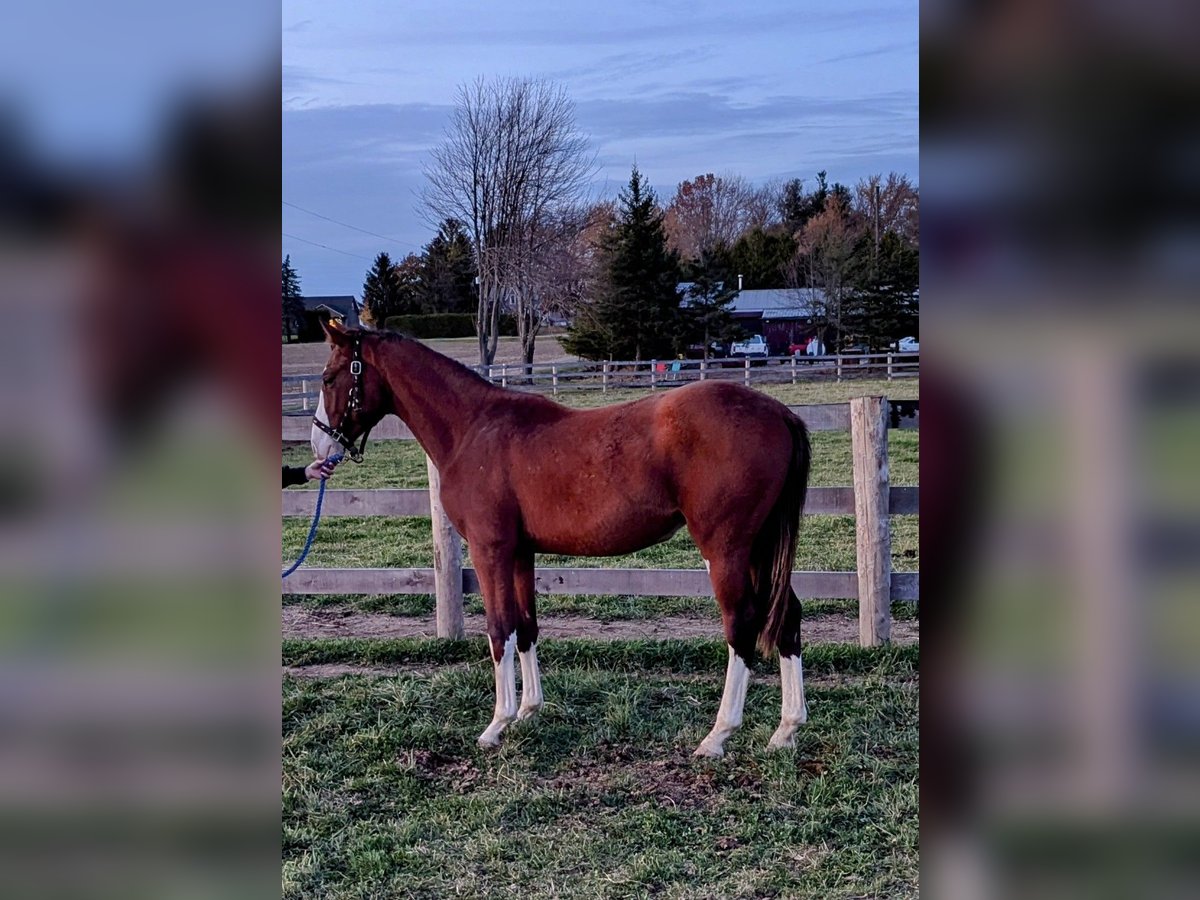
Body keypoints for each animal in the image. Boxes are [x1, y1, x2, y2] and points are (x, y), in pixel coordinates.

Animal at [314, 324, 811, 763]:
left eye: (329, 377)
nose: (321, 445)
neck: (473, 428)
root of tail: (780, 412)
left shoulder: (490, 550)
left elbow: (499, 629)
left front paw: (497, 724)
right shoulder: (520, 553)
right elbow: (526, 626)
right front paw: (528, 712)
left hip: (727, 551)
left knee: (741, 625)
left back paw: (717, 736)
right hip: (761, 549)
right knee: (786, 616)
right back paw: (785, 731)